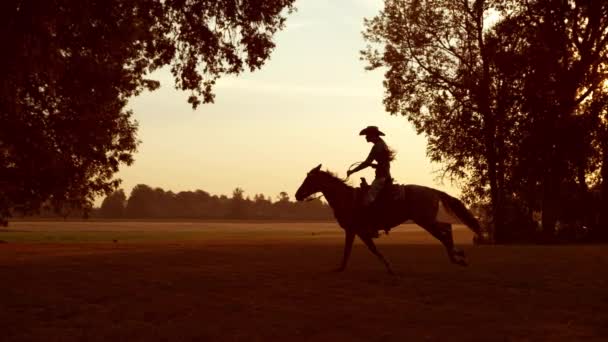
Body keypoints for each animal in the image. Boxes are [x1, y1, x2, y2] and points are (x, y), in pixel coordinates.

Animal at [296, 164, 484, 274]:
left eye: (309, 179)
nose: (298, 194)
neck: (347, 199)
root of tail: (431, 190)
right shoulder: (355, 231)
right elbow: (355, 250)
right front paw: (341, 268)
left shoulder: (356, 230)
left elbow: (367, 249)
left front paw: (389, 267)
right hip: (427, 220)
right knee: (446, 228)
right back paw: (458, 255)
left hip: (425, 221)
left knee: (443, 234)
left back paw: (457, 257)